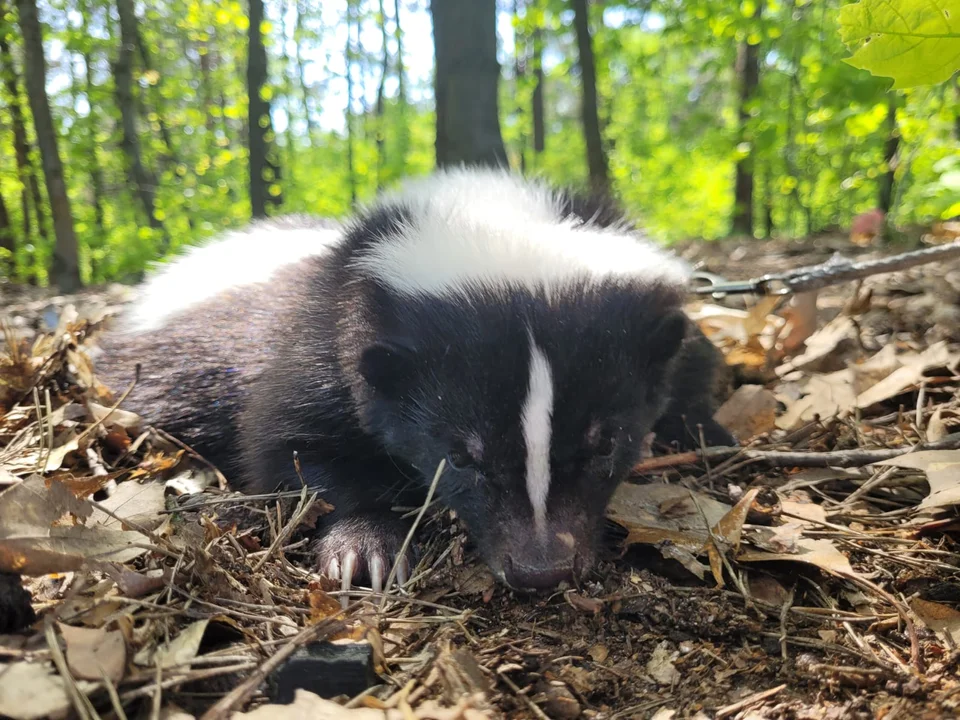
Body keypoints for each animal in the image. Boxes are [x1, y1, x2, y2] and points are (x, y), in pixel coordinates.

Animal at [94, 167, 732, 592]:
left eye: (607, 443)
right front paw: (364, 547)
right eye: (461, 455)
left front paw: (703, 430)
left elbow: (691, 367)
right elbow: (289, 442)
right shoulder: (326, 336)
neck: (488, 218)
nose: (539, 568)